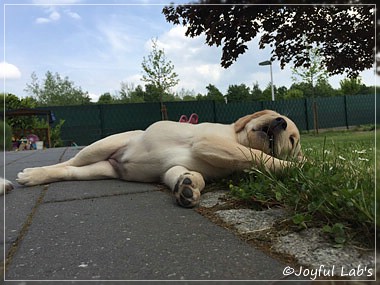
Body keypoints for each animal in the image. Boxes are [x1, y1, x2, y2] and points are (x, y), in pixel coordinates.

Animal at [17, 108, 302, 206]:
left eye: (291, 140)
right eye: (278, 117)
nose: (279, 122)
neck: (234, 136)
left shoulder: (172, 168)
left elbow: (186, 175)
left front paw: (188, 186)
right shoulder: (208, 141)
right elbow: (258, 155)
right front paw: (296, 166)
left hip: (99, 169)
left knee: (71, 171)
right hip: (100, 146)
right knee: (68, 162)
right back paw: (32, 173)